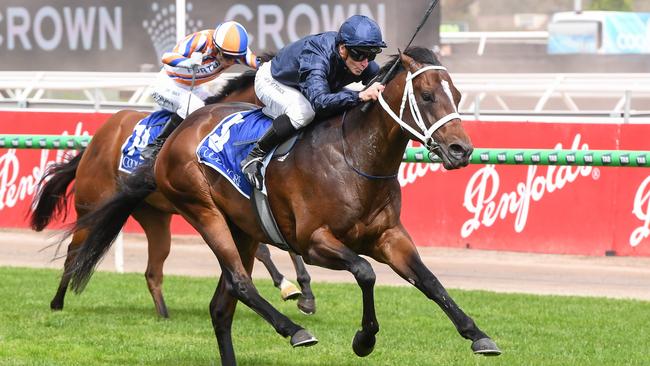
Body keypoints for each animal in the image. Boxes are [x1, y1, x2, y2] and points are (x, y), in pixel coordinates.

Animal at [29, 69, 314, 318]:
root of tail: (99, 137)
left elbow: (287, 244)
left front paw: (304, 292)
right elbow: (263, 250)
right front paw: (287, 285)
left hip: (154, 216)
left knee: (153, 270)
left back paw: (164, 315)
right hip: (91, 206)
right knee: (74, 252)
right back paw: (57, 302)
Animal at [66, 48, 498, 364]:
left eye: (457, 96)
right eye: (427, 96)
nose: (461, 150)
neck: (355, 157)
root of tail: (178, 131)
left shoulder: (389, 237)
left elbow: (430, 280)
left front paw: (478, 334)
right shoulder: (314, 241)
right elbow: (365, 272)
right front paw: (363, 338)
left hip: (239, 228)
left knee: (222, 305)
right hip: (202, 211)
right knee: (240, 282)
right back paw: (295, 331)